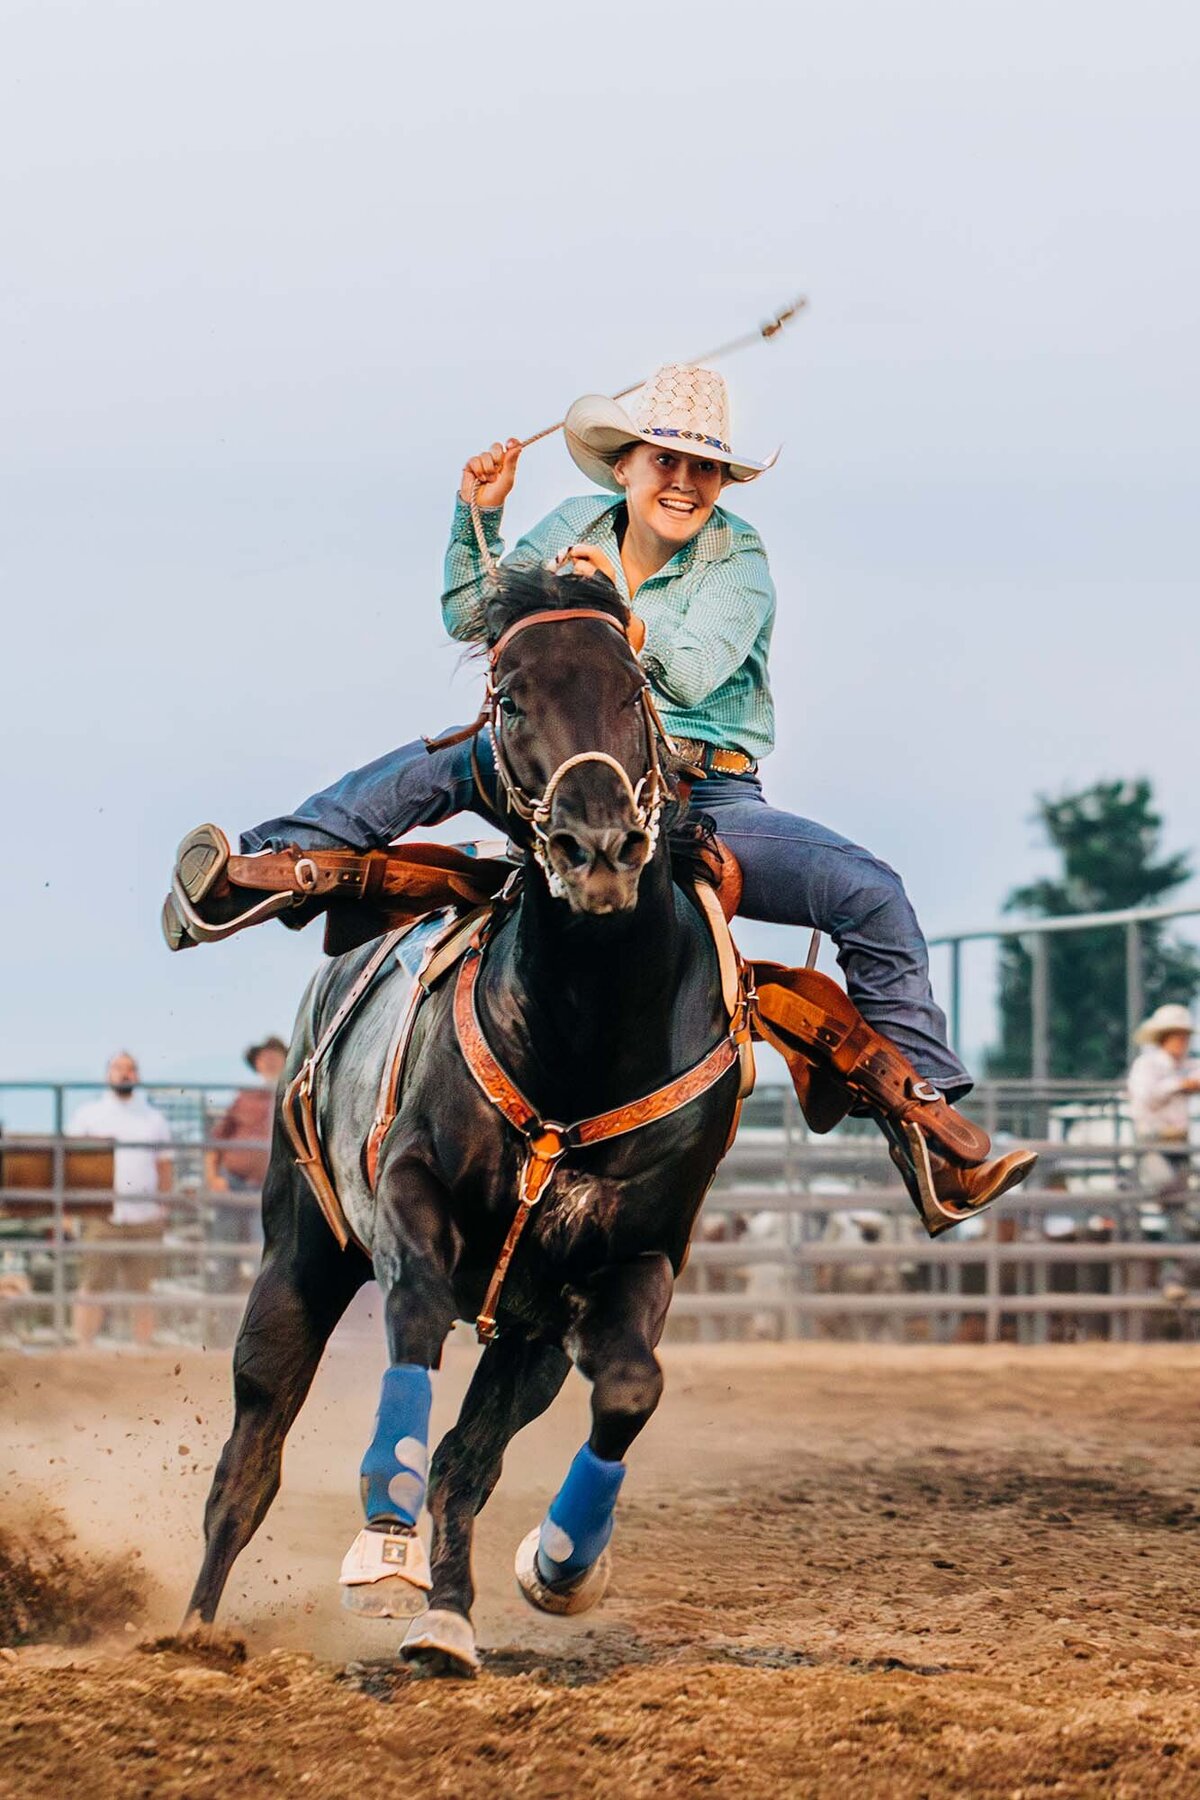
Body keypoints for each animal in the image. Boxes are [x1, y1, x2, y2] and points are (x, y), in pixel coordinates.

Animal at [185, 572, 741, 1670]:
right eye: (512, 701)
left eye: (635, 690)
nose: (598, 846)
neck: (582, 1046)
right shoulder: (413, 1191)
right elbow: (412, 1315)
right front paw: (381, 1537)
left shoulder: (635, 1257)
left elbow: (626, 1391)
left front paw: (562, 1564)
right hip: (298, 1250)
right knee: (252, 1450)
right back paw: (193, 1633)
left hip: (528, 1336)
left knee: (468, 1459)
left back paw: (447, 1620)